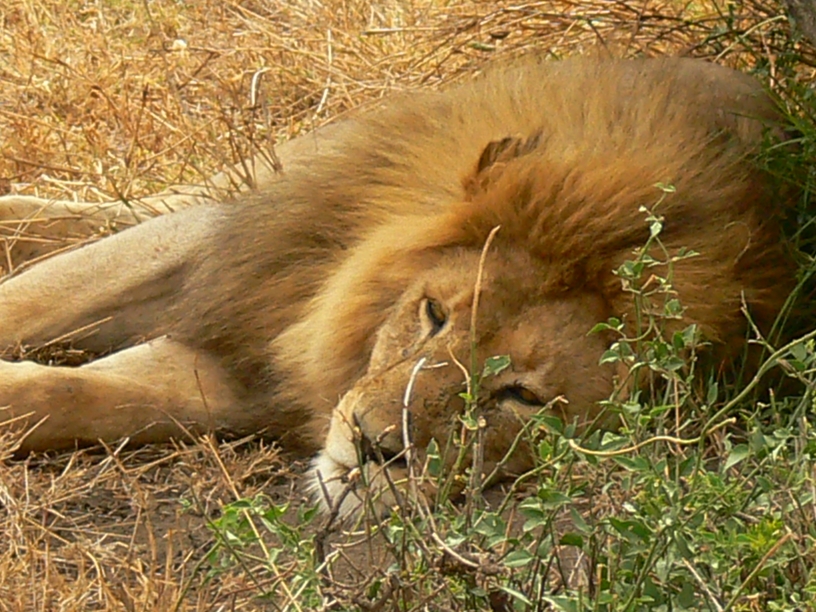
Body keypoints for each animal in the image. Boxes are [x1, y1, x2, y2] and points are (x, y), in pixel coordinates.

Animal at [0, 56, 796, 516]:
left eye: (521, 397)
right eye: (434, 312)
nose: (373, 449)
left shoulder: (264, 371)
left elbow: (80, 393)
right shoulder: (256, 267)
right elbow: (41, 295)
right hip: (275, 179)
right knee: (148, 207)